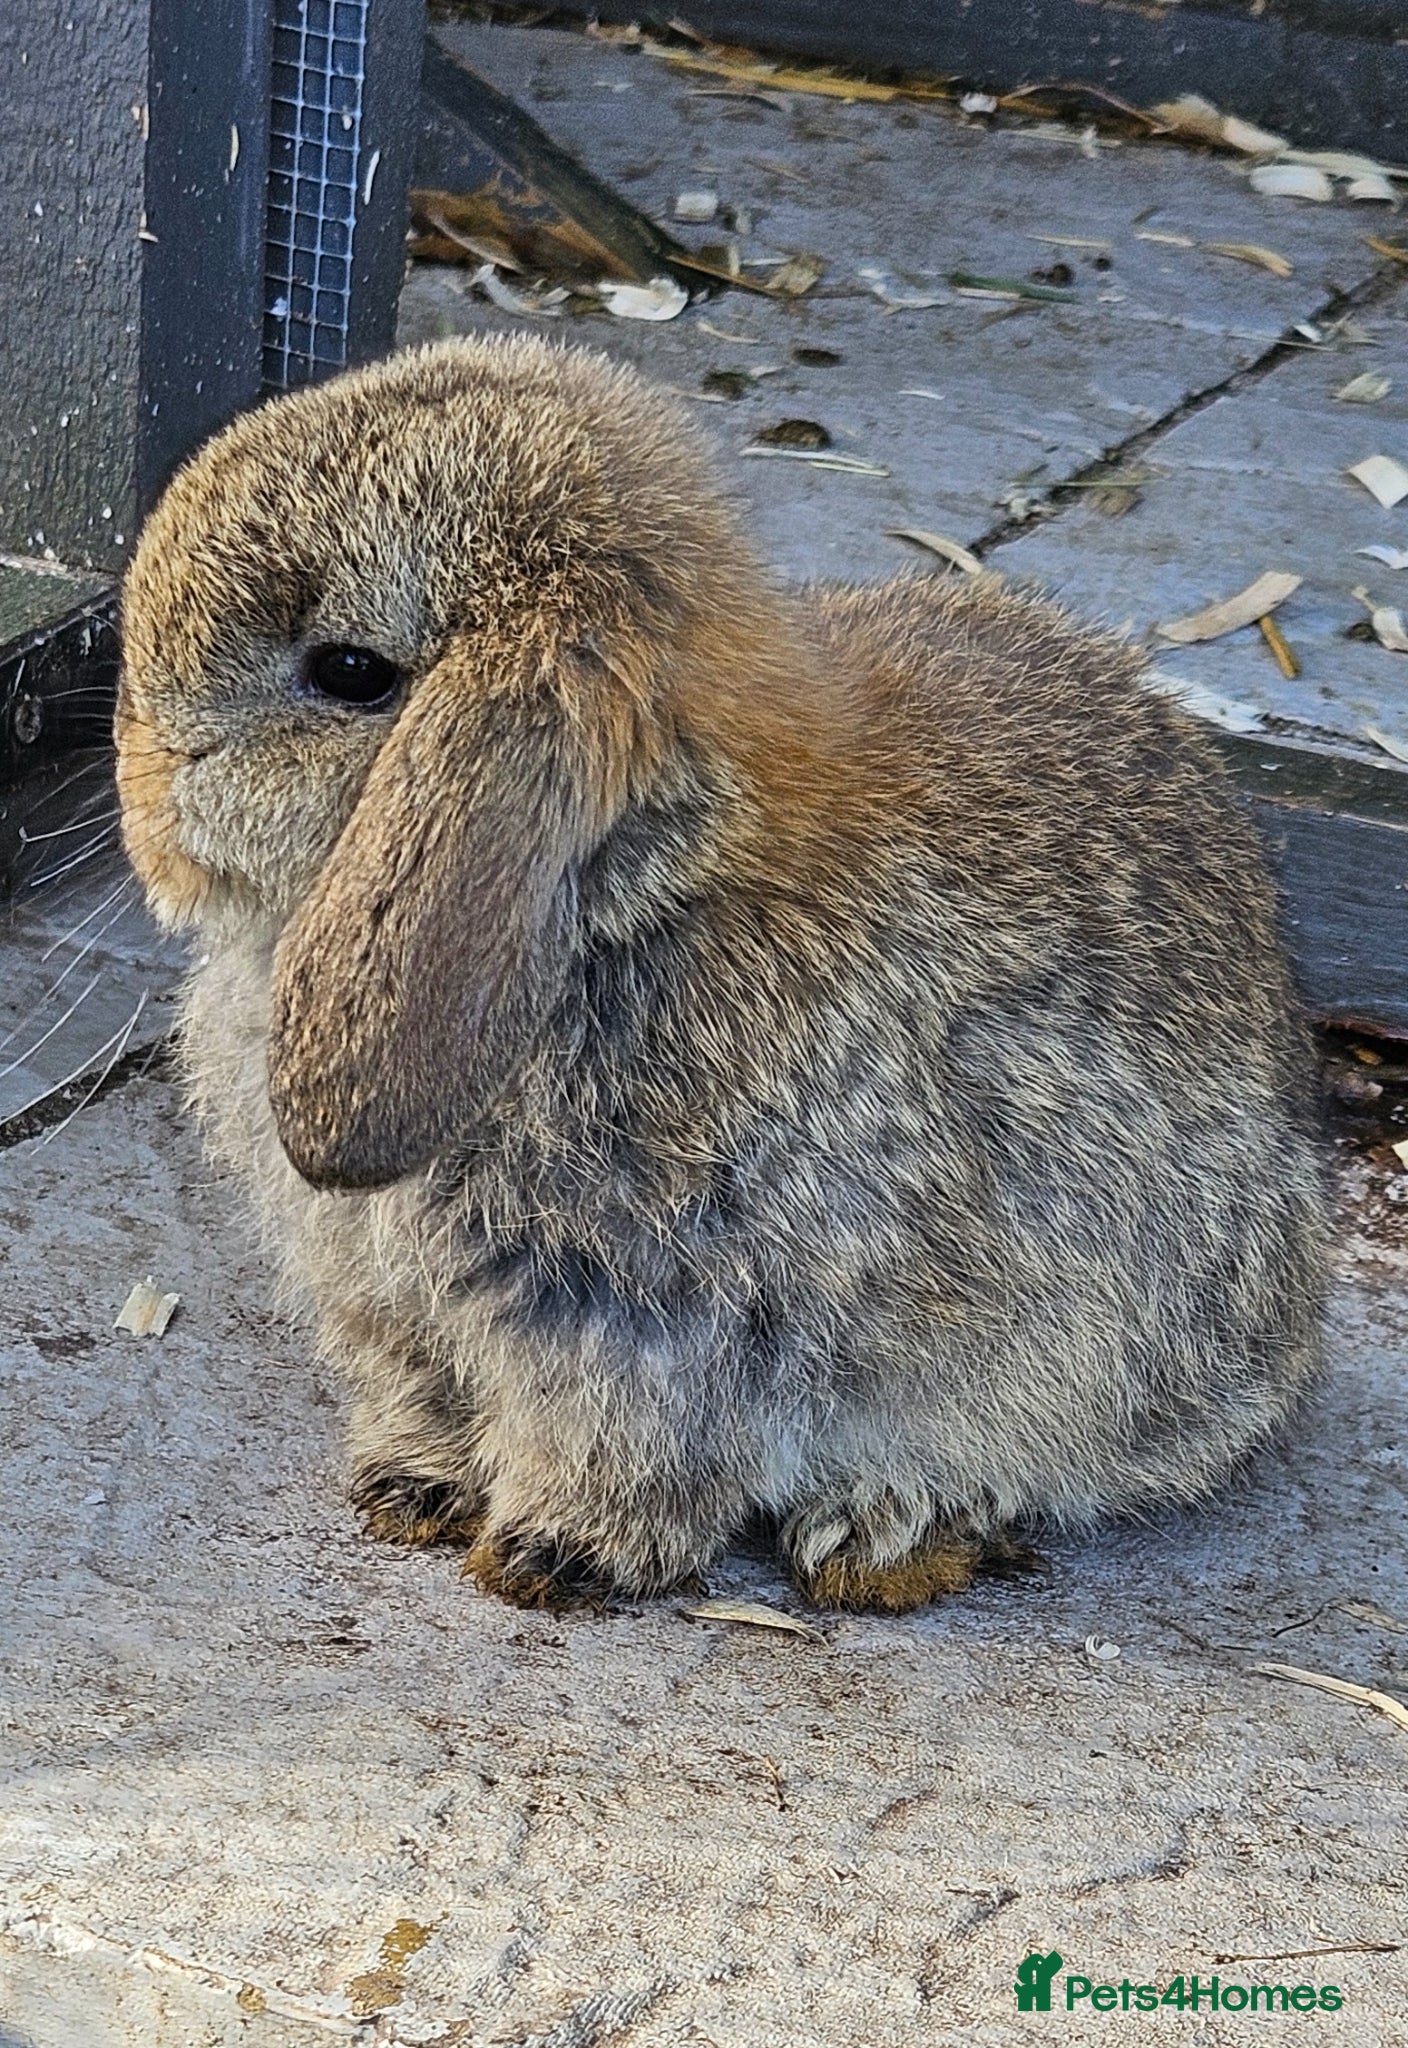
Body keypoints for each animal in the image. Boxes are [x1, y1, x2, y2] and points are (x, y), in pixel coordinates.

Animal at [116, 333, 1328, 1612]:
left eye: (349, 671)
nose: (139, 793)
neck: (638, 886)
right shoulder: (400, 1304)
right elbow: (427, 1388)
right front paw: (413, 1487)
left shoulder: (658, 1321)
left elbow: (628, 1444)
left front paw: (553, 1553)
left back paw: (881, 1526)